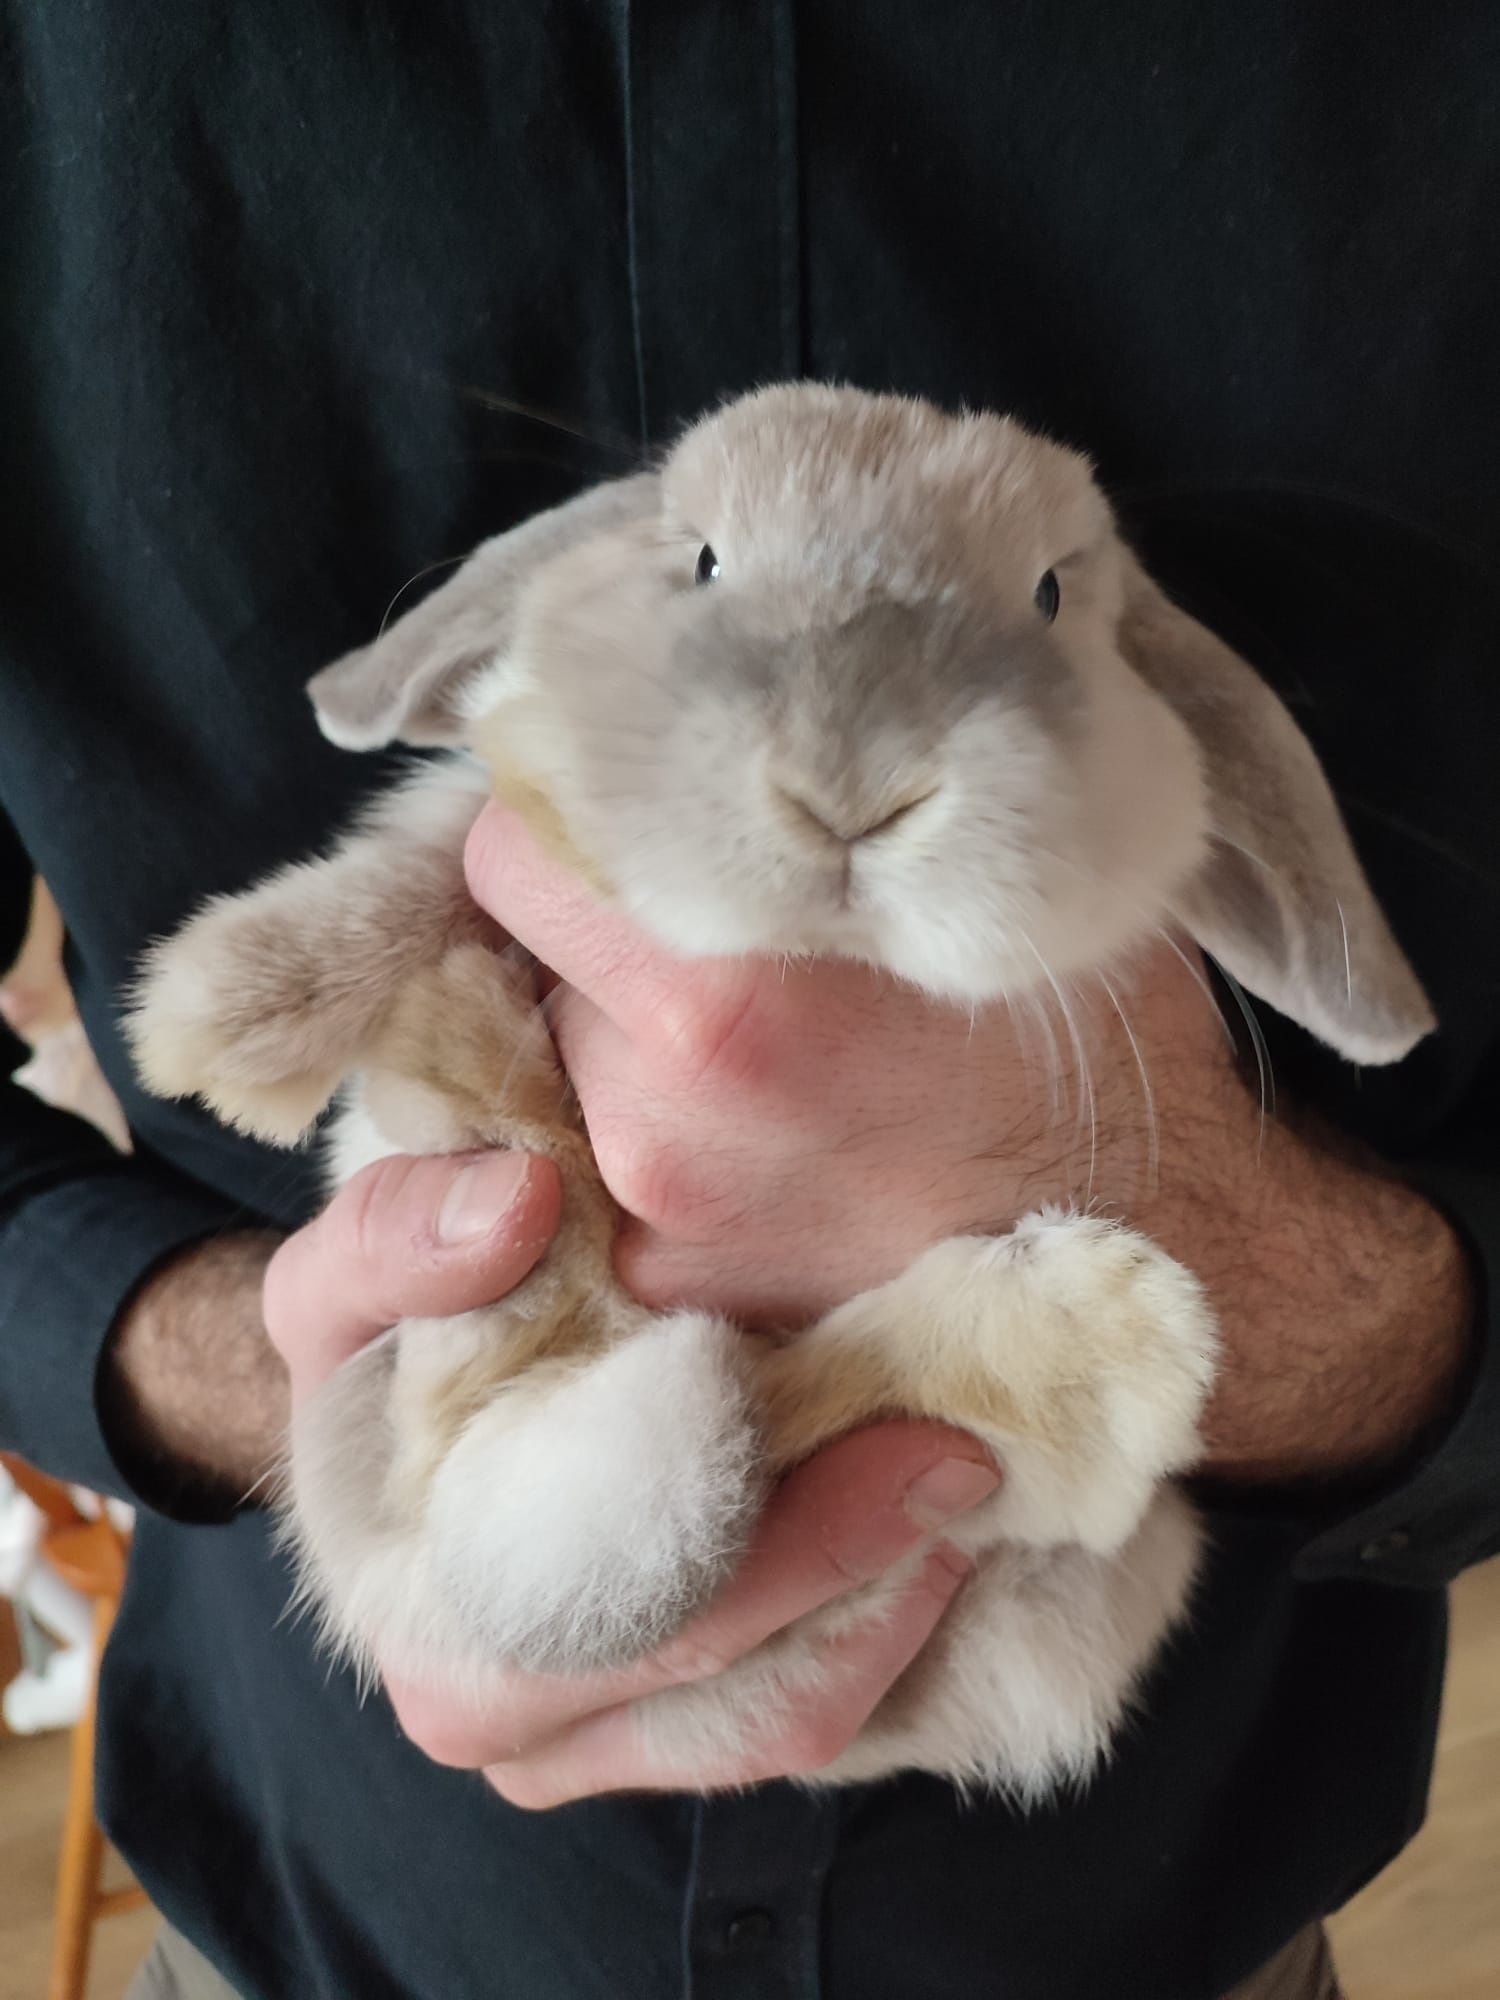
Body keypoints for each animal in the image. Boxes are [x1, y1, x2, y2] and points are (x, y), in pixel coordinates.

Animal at [126, 378, 1432, 1800]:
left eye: (1048, 596)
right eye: (703, 560)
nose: (850, 784)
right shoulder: (498, 813)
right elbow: (435, 854)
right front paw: (215, 1016)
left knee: (747, 1421)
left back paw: (1099, 1341)